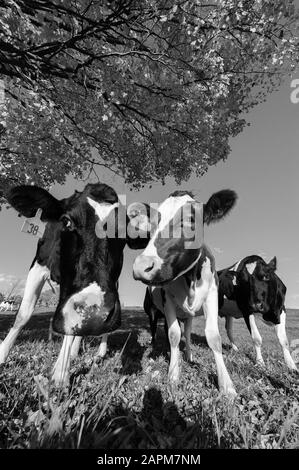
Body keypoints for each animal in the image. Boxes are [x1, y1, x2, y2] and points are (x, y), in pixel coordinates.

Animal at [0, 183, 154, 386]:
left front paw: (61, 374)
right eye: (66, 221)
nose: (95, 313)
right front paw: (2, 354)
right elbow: (23, 315)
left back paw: (97, 352)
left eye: (123, 233)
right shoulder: (38, 265)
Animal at [134, 188, 239, 396]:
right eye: (152, 225)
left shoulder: (212, 296)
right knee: (156, 329)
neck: (190, 278)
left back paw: (189, 355)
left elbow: (213, 337)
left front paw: (226, 385)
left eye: (190, 220)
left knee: (188, 333)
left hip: (188, 315)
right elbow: (174, 335)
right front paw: (173, 374)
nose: (141, 266)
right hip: (151, 310)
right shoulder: (167, 300)